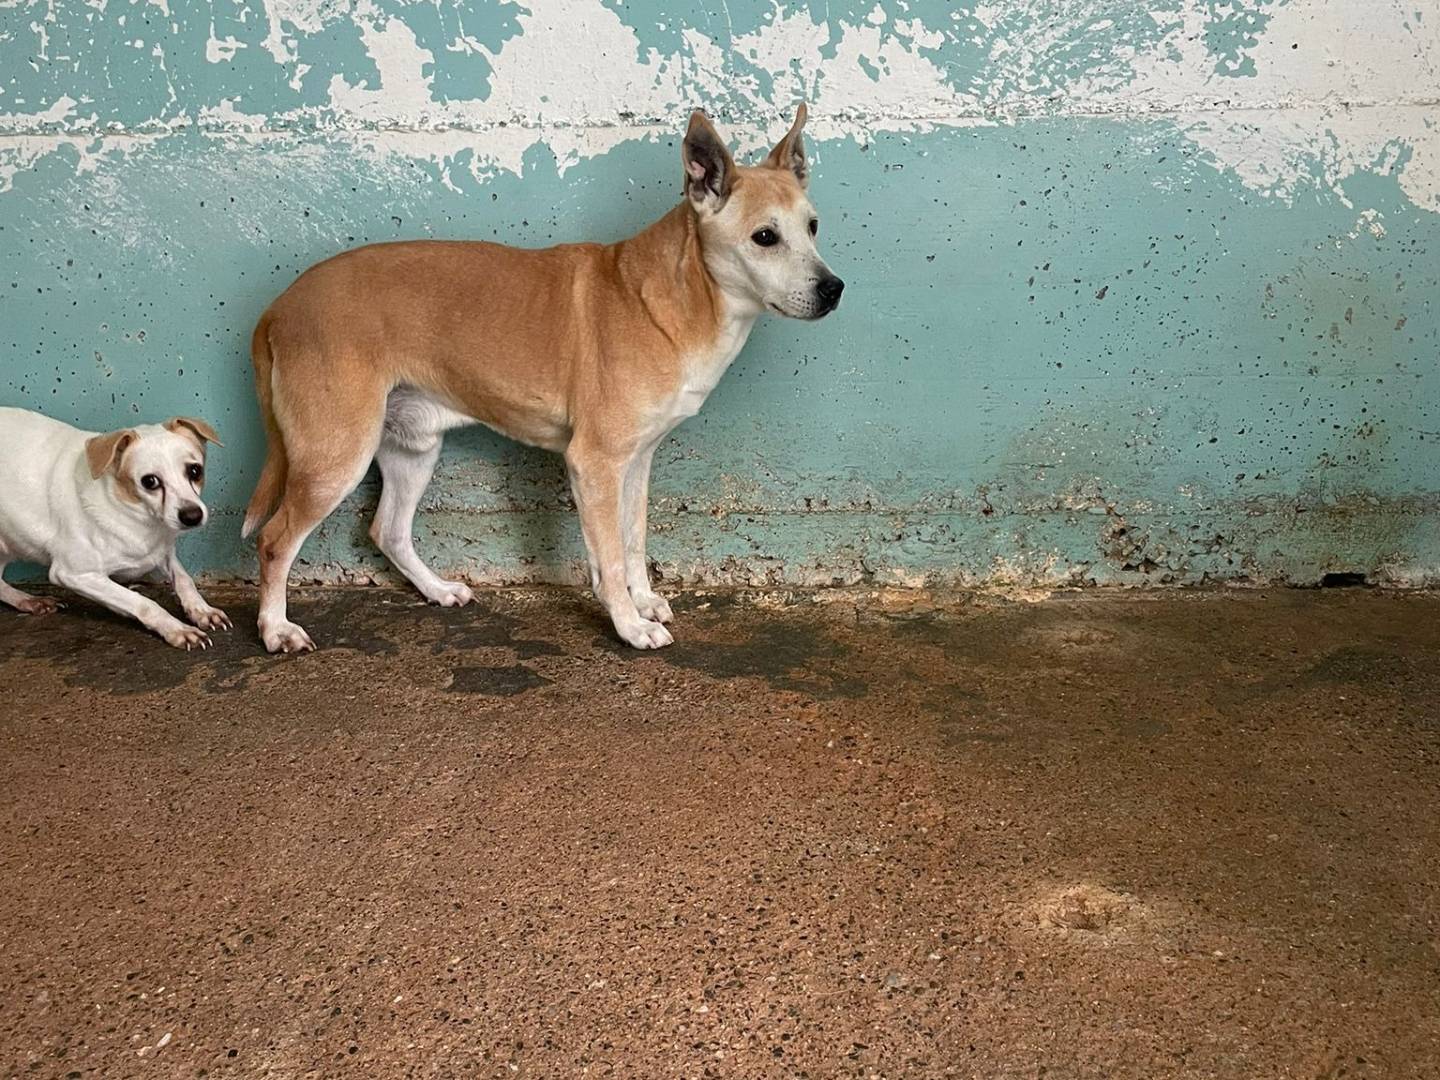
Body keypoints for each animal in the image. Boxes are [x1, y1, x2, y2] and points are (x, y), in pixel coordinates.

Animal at [241, 105, 840, 656]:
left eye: (812, 226)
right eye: (765, 237)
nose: (834, 289)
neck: (677, 294)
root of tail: (279, 307)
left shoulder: (636, 462)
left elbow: (633, 540)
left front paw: (643, 599)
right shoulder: (594, 463)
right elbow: (608, 557)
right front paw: (629, 625)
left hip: (411, 447)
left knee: (387, 531)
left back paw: (437, 590)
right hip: (334, 457)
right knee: (273, 540)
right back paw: (276, 630)